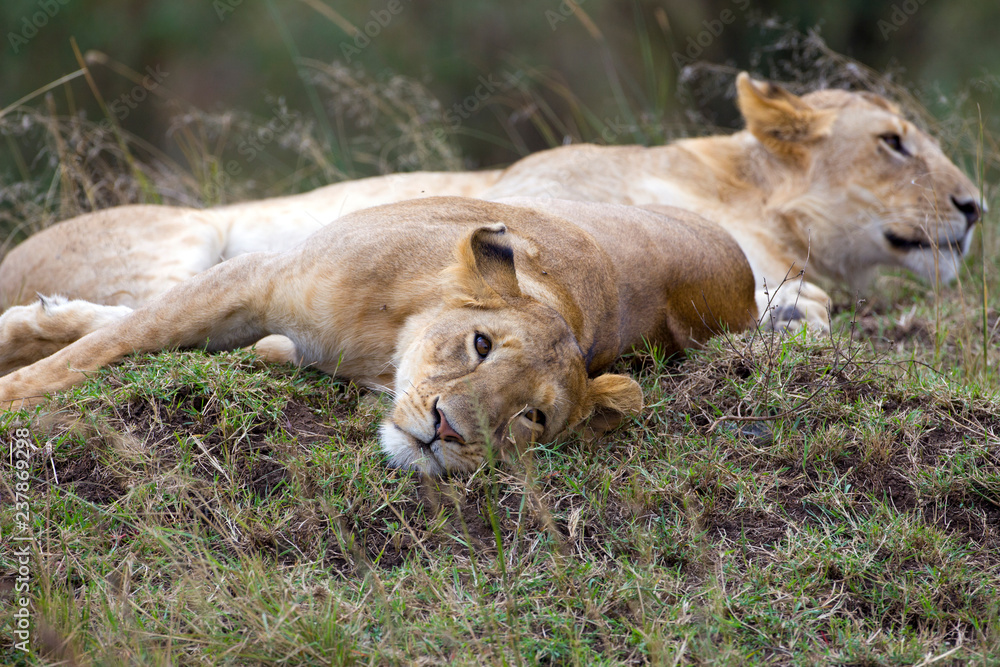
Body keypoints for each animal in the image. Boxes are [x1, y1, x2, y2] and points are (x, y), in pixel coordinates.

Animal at [0, 72, 981, 343]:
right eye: (895, 141)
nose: (975, 205)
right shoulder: (530, 194)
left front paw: (794, 308)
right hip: (182, 232)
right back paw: (46, 314)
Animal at [0, 197, 758, 475]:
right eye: (481, 344)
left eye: (532, 417)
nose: (446, 429)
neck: (382, 347)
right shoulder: (257, 277)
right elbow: (99, 351)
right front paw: (15, 391)